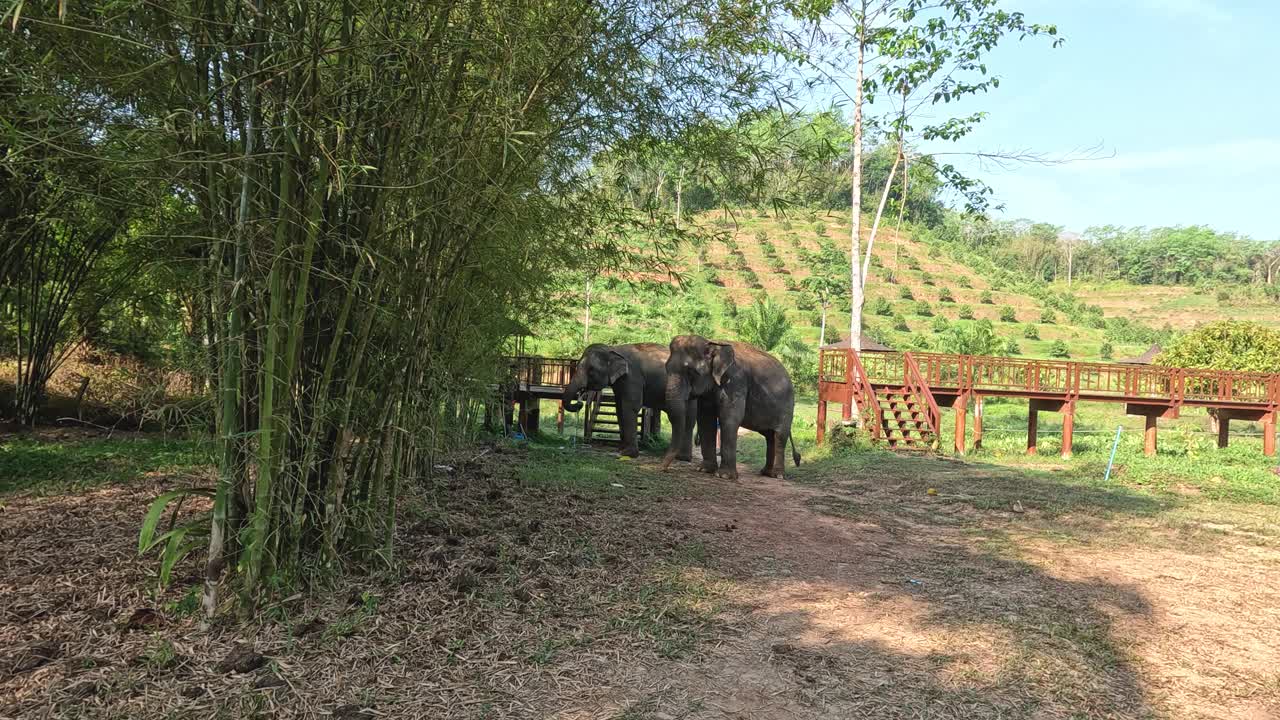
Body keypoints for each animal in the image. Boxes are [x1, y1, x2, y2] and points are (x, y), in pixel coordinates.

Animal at [563, 340, 696, 453]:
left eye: (591, 370)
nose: (579, 402)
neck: (613, 349)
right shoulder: (620, 382)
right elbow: (619, 408)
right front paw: (621, 449)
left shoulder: (632, 377)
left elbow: (631, 407)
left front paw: (629, 453)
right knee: (689, 418)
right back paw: (682, 457)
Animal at [660, 335, 798, 479]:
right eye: (666, 368)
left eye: (691, 372)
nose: (664, 470)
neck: (712, 343)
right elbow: (705, 420)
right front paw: (704, 470)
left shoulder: (736, 381)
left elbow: (730, 419)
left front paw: (725, 476)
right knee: (769, 436)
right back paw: (766, 472)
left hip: (787, 406)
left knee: (779, 436)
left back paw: (777, 475)